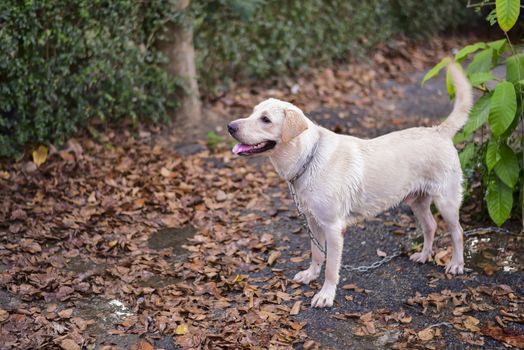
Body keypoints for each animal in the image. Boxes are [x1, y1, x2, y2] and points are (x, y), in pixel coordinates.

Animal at [227, 63, 472, 306]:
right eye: (252, 112)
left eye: (266, 119)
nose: (230, 126)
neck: (309, 157)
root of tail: (438, 131)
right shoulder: (313, 221)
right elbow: (317, 254)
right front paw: (310, 274)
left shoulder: (334, 228)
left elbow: (331, 268)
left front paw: (326, 295)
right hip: (418, 201)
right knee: (431, 226)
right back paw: (423, 255)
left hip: (446, 202)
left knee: (458, 232)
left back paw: (456, 264)